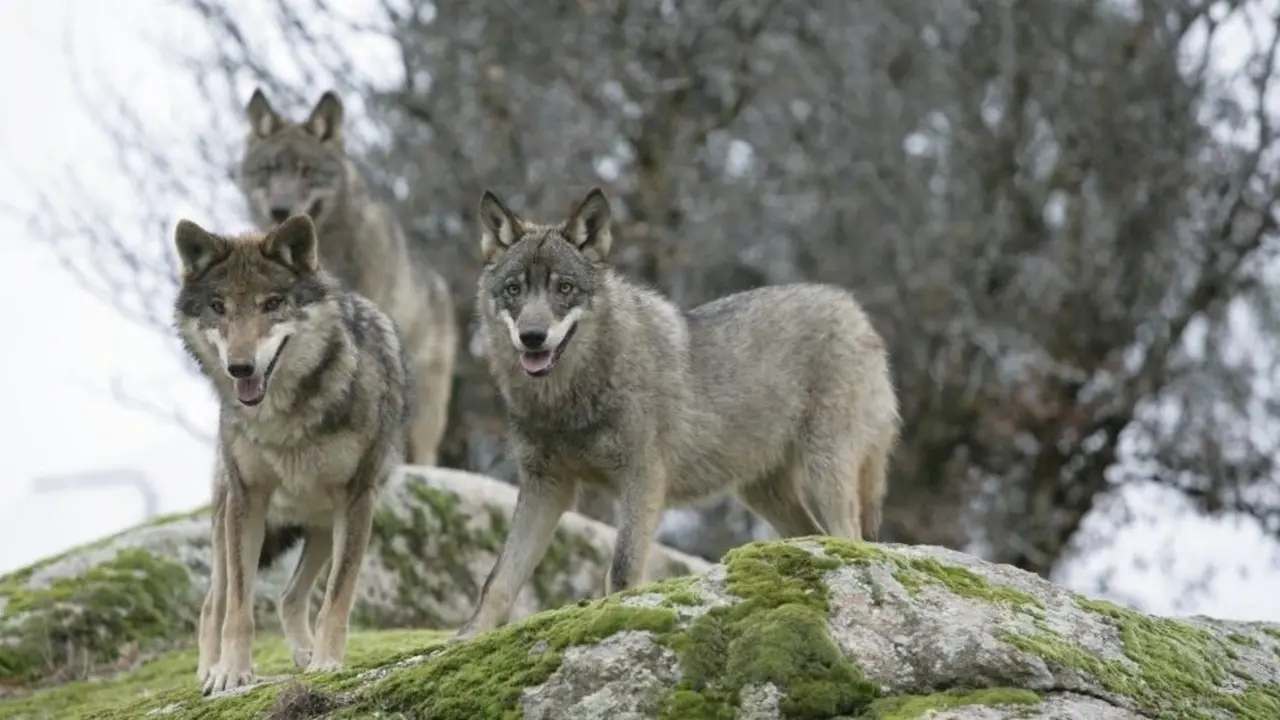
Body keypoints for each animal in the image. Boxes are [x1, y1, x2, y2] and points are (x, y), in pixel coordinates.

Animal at [173, 214, 412, 694]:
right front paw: (231, 673)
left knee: (289, 596)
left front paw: (326, 662)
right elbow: (239, 608)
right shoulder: (248, 501)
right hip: (228, 520)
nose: (240, 368)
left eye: (272, 303)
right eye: (218, 307)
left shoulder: (357, 499)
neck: (283, 419)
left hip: (322, 525)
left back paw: (305, 654)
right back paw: (209, 669)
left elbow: (337, 598)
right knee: (213, 603)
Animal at [454, 188, 902, 639]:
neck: (566, 400)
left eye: (564, 287)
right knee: (816, 535)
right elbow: (498, 580)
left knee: (851, 537)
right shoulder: (545, 486)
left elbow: (621, 570)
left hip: (825, 470)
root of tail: (854, 309)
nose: (532, 337)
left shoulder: (643, 478)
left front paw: (616, 618)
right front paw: (467, 637)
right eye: (514, 289)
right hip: (763, 492)